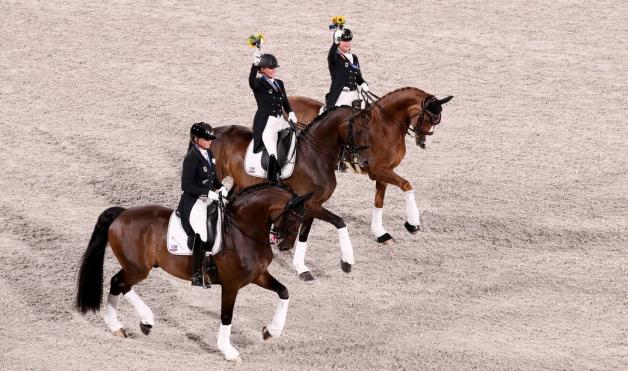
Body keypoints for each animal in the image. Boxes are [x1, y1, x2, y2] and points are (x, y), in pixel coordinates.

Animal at [75, 183, 310, 364]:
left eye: (302, 219)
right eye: (294, 218)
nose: (286, 246)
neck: (243, 231)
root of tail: (122, 214)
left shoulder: (258, 276)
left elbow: (284, 292)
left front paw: (271, 331)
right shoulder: (231, 284)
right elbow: (227, 316)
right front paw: (229, 352)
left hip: (136, 268)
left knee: (119, 284)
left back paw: (127, 325)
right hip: (138, 269)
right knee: (119, 283)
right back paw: (138, 321)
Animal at [211, 106, 370, 280]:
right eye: (359, 130)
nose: (365, 162)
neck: (314, 156)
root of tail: (215, 131)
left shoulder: (311, 205)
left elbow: (304, 233)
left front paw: (300, 266)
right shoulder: (309, 203)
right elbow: (339, 221)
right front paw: (347, 262)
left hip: (241, 183)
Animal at [288, 87, 454, 244]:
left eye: (436, 121)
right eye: (428, 118)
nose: (425, 143)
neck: (387, 125)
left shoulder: (386, 170)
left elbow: (379, 201)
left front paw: (380, 234)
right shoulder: (377, 170)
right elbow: (406, 185)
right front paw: (412, 224)